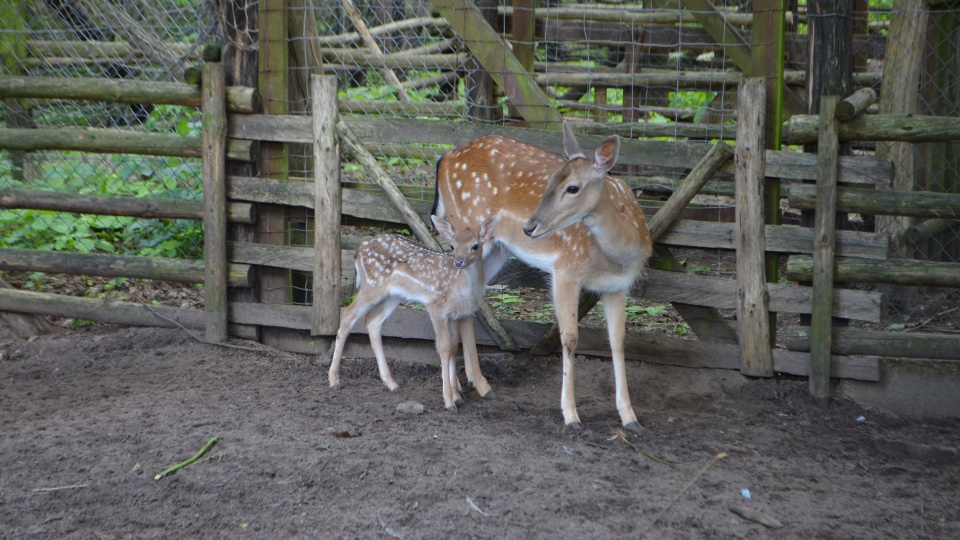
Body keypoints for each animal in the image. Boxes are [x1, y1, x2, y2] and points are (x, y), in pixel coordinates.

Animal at [436, 123, 652, 434]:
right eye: (549, 180)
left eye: (572, 187)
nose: (529, 227)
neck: (617, 258)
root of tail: (444, 158)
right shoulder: (565, 271)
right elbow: (570, 339)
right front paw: (571, 415)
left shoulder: (617, 287)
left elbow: (618, 341)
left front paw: (630, 417)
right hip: (463, 235)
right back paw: (453, 394)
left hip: (491, 250)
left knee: (468, 301)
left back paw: (479, 386)